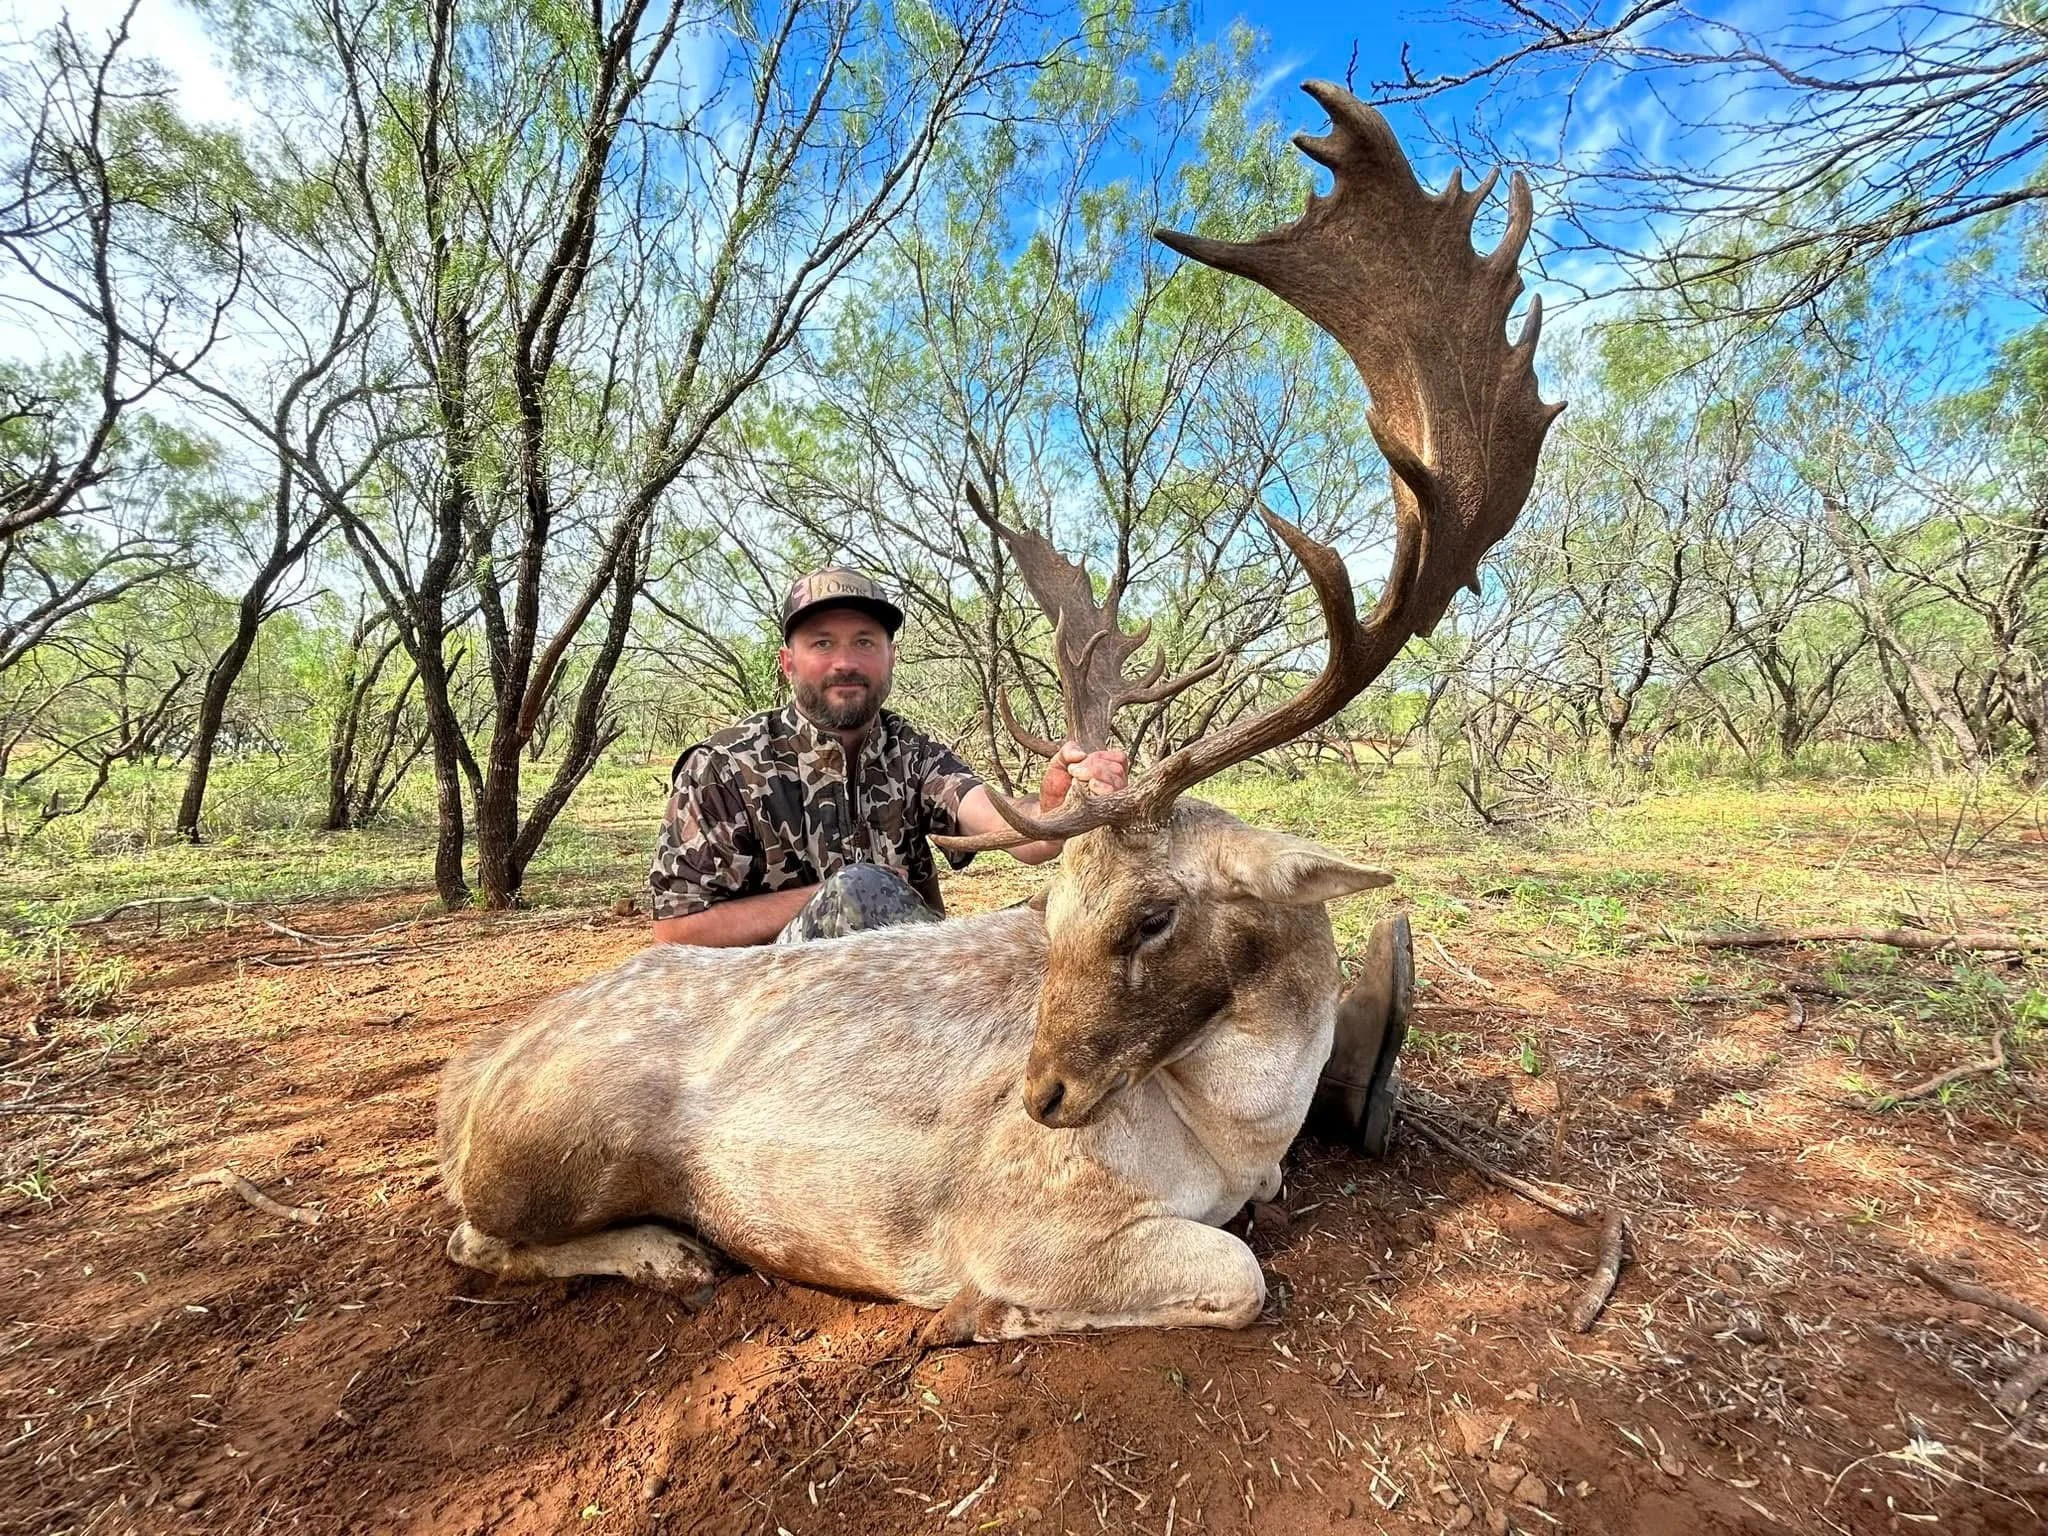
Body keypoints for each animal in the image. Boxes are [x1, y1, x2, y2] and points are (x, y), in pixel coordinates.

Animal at [435, 82, 1560, 1341]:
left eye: (1153, 913)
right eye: (1052, 910)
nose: (1041, 1094)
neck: (1231, 1132)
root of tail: (466, 1078)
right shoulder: (1030, 1220)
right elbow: (1237, 1273)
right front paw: (985, 1312)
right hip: (556, 1151)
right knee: (472, 1237)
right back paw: (672, 1253)